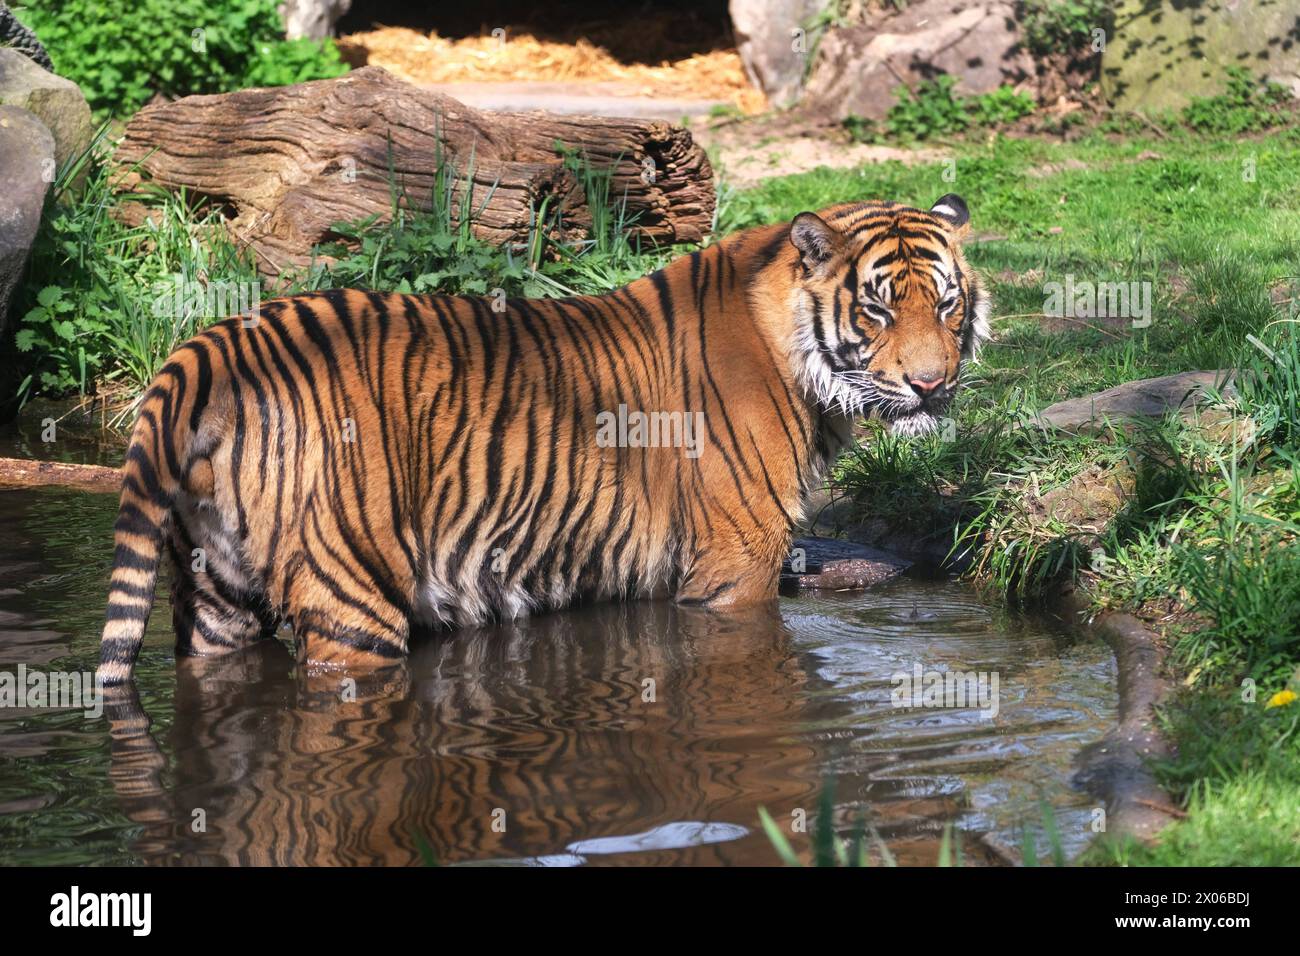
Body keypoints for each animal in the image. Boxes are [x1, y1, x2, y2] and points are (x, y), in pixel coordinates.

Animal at [96, 195, 987, 686]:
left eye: (946, 305)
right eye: (876, 309)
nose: (930, 384)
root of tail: (210, 347)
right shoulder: (737, 563)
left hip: (218, 593)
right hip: (349, 591)